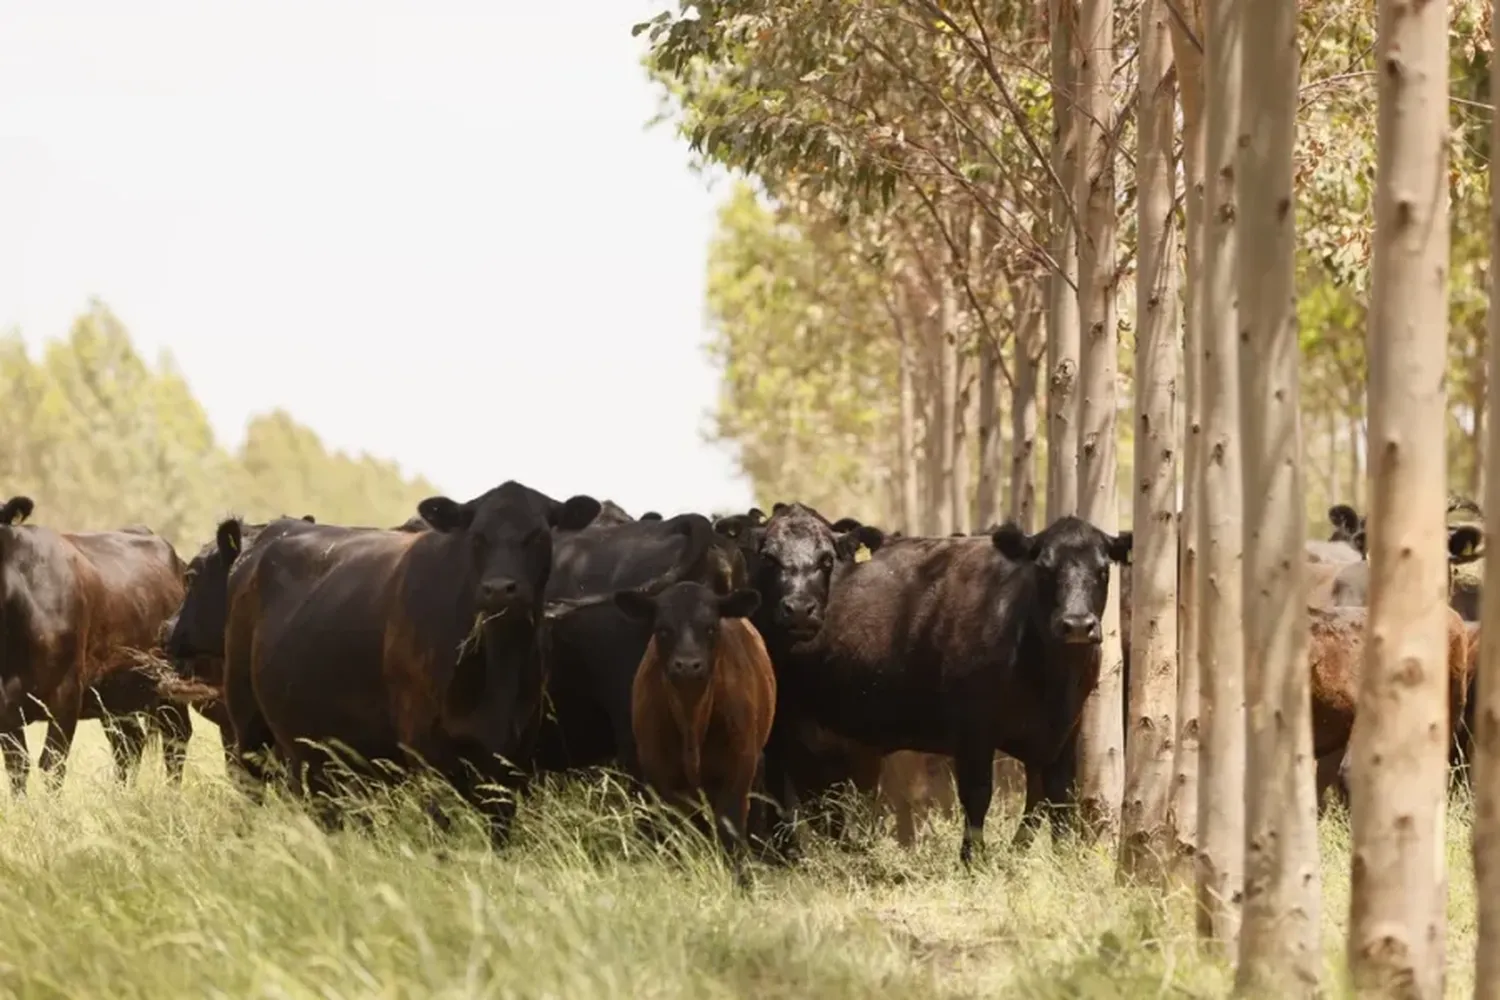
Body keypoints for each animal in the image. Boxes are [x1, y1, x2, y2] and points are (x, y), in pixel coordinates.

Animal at [0, 497, 190, 791]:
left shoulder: (67, 693)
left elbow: (51, 765)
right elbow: (17, 769)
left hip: (171, 686)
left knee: (176, 739)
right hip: (116, 696)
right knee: (129, 744)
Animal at [220, 479, 597, 839]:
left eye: (539, 535)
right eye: (477, 536)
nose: (499, 588)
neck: (497, 668)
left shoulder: (510, 758)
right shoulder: (428, 751)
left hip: (314, 751)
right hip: (246, 727)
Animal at [615, 578, 774, 875]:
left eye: (711, 627)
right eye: (662, 629)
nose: (688, 665)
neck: (692, 721)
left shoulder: (739, 770)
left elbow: (731, 831)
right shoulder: (662, 776)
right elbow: (680, 834)